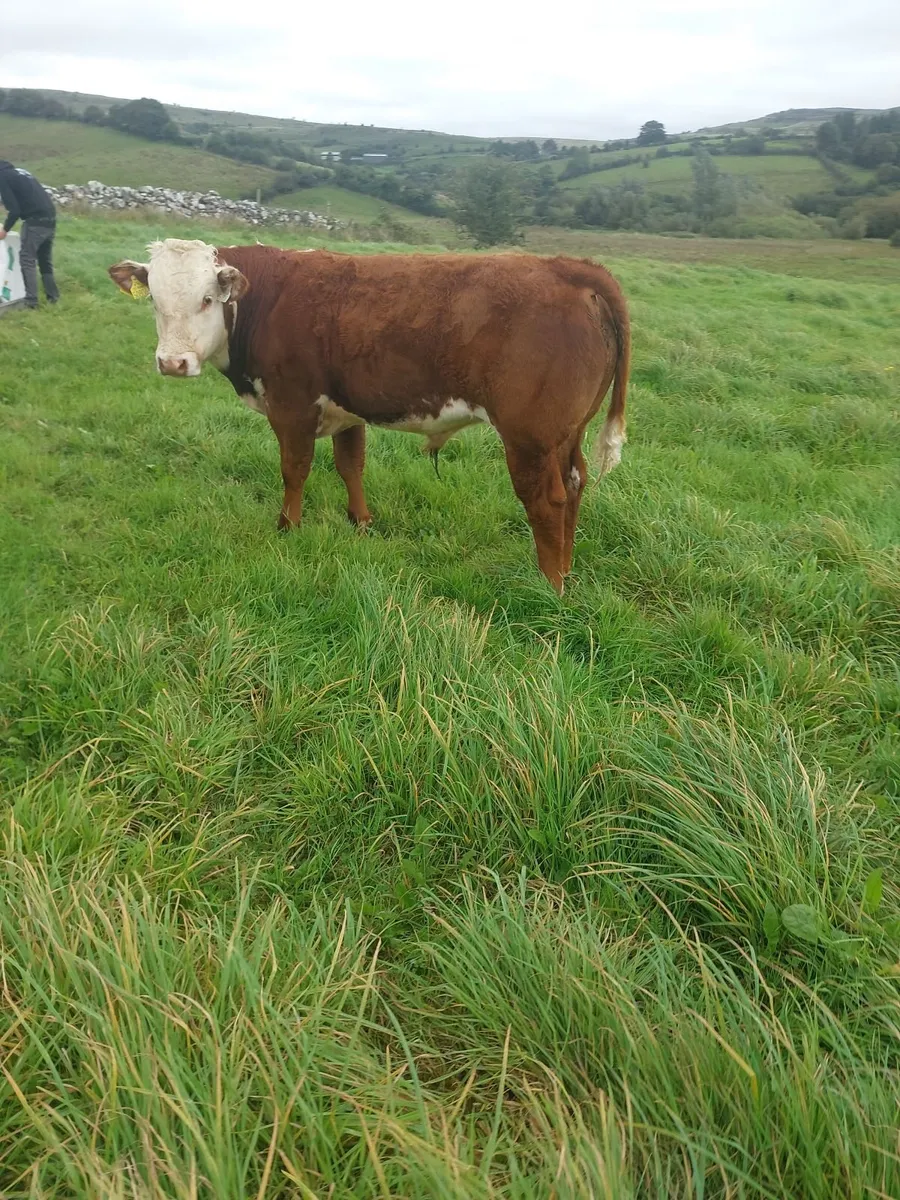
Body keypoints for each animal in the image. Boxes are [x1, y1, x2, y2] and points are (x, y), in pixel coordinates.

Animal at [108, 239, 630, 592]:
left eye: (206, 300)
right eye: (154, 300)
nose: (173, 363)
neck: (267, 298)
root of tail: (569, 268)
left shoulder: (291, 405)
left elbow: (294, 469)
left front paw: (287, 528)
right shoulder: (347, 407)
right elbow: (350, 465)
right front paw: (361, 522)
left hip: (530, 438)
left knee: (547, 501)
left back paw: (549, 585)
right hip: (566, 434)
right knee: (576, 484)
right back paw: (567, 570)